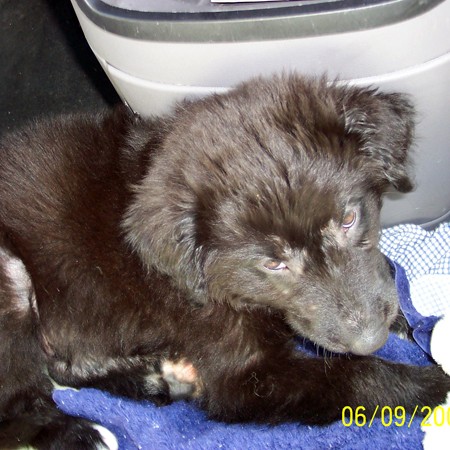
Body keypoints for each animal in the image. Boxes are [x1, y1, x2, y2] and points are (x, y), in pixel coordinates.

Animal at [0, 75, 448, 448]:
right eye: (273, 265)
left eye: (349, 219)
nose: (370, 340)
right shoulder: (244, 379)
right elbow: (357, 374)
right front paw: (433, 385)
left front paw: (407, 323)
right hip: (11, 279)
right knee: (16, 407)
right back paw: (81, 432)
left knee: (63, 368)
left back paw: (157, 379)